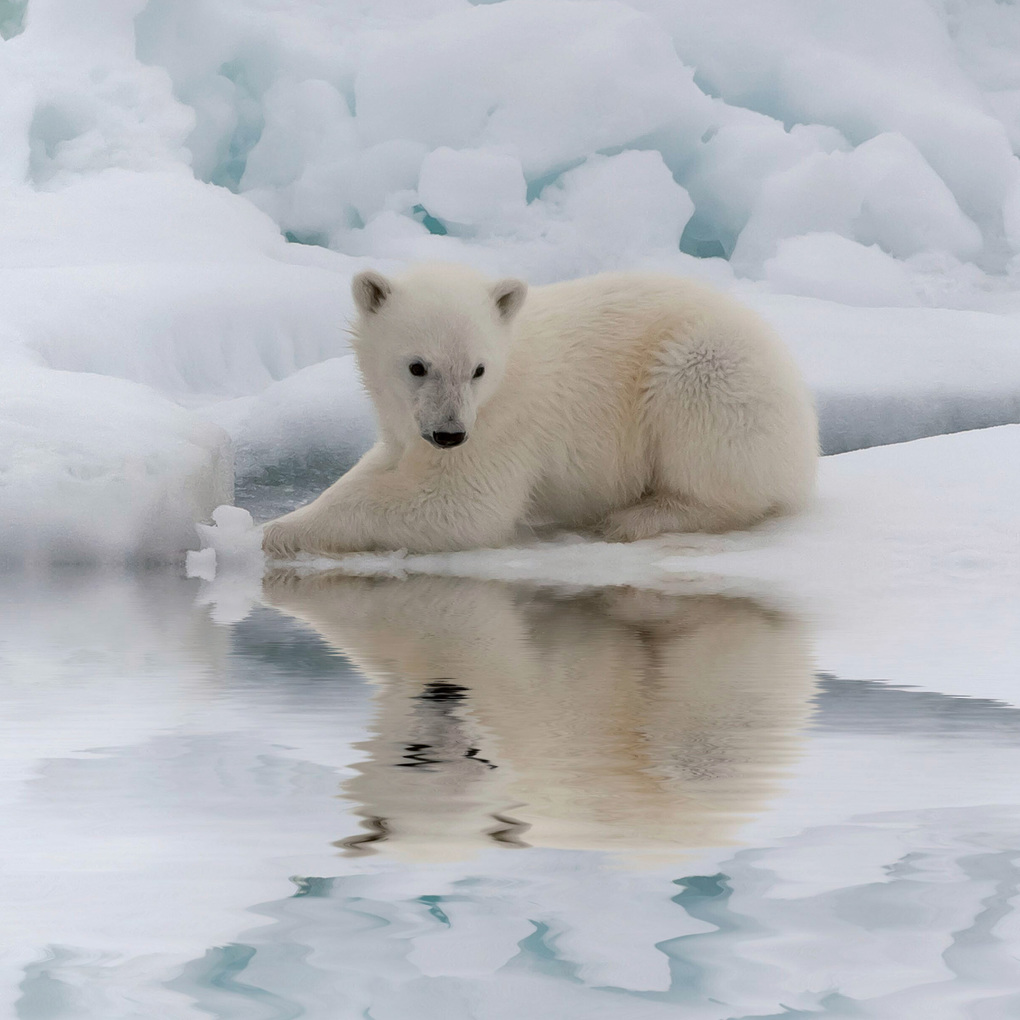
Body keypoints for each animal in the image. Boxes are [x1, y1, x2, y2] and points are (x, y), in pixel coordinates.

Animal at [261, 264, 818, 558]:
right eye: (418, 366)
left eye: (478, 369)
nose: (449, 434)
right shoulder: (412, 424)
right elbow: (380, 464)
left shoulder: (504, 426)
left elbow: (459, 506)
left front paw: (278, 532)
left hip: (708, 369)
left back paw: (636, 518)